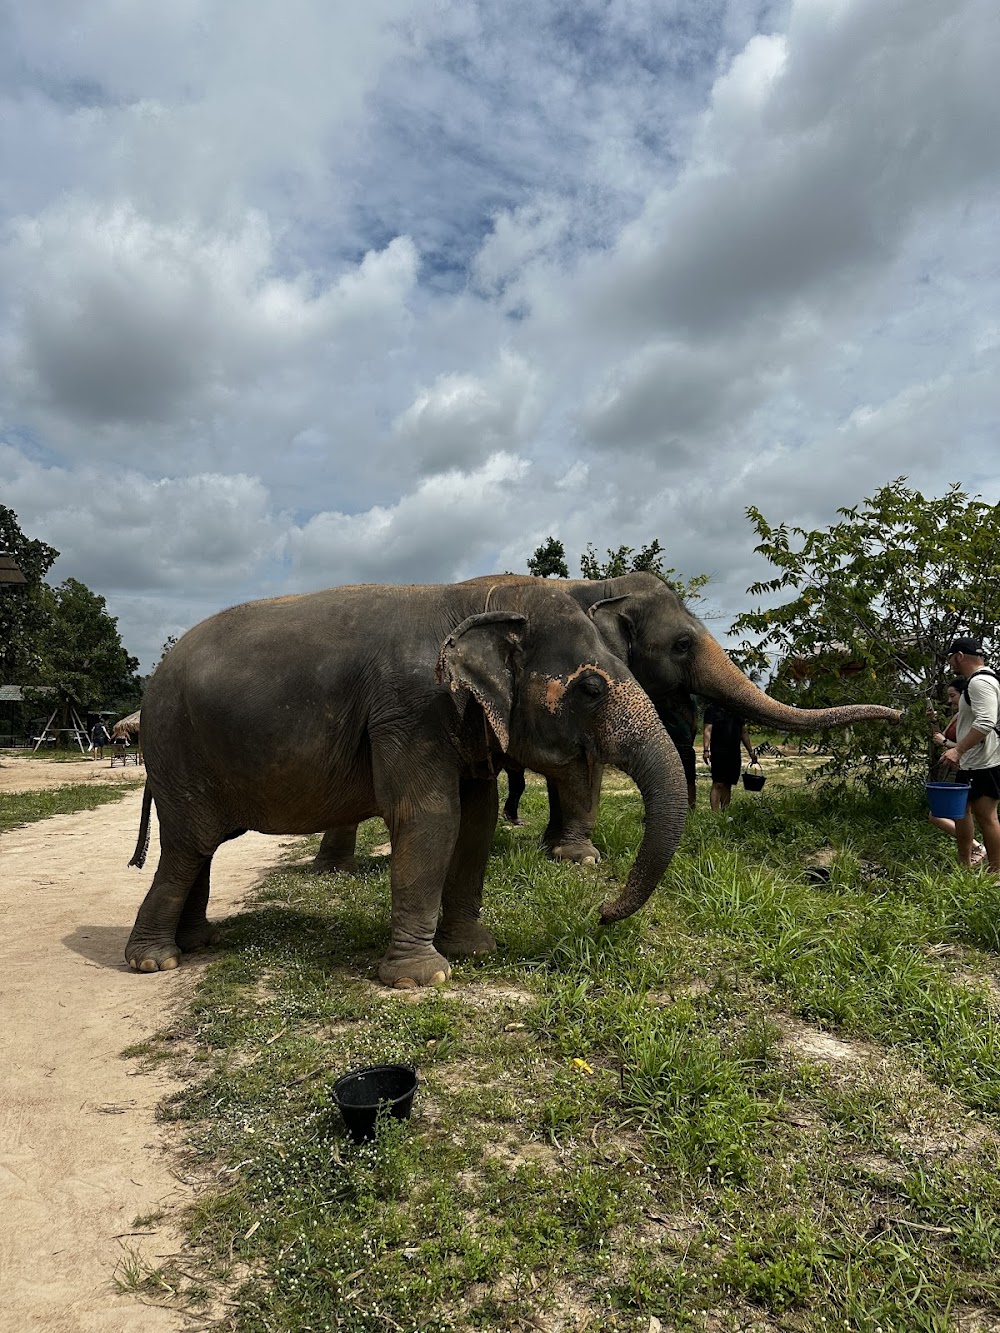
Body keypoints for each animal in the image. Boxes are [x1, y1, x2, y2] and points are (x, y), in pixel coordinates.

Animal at [123, 581, 688, 991]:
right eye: (591, 688)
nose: (601, 914)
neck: (480, 599)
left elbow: (477, 820)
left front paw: (475, 950)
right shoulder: (413, 710)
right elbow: (430, 818)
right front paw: (423, 978)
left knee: (202, 847)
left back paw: (198, 943)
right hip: (175, 750)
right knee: (188, 846)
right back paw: (155, 961)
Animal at [313, 573, 901, 874]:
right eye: (682, 644)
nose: (900, 712)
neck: (602, 586)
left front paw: (556, 848)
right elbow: (580, 764)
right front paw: (579, 858)